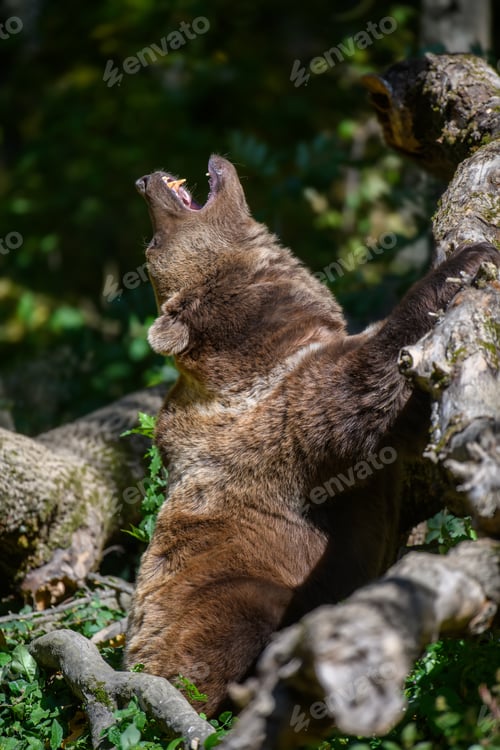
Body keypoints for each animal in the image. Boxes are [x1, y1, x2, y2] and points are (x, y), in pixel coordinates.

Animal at [125, 155, 498, 716]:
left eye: (148, 241)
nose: (143, 180)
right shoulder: (285, 416)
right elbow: (362, 385)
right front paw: (465, 260)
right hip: (220, 593)